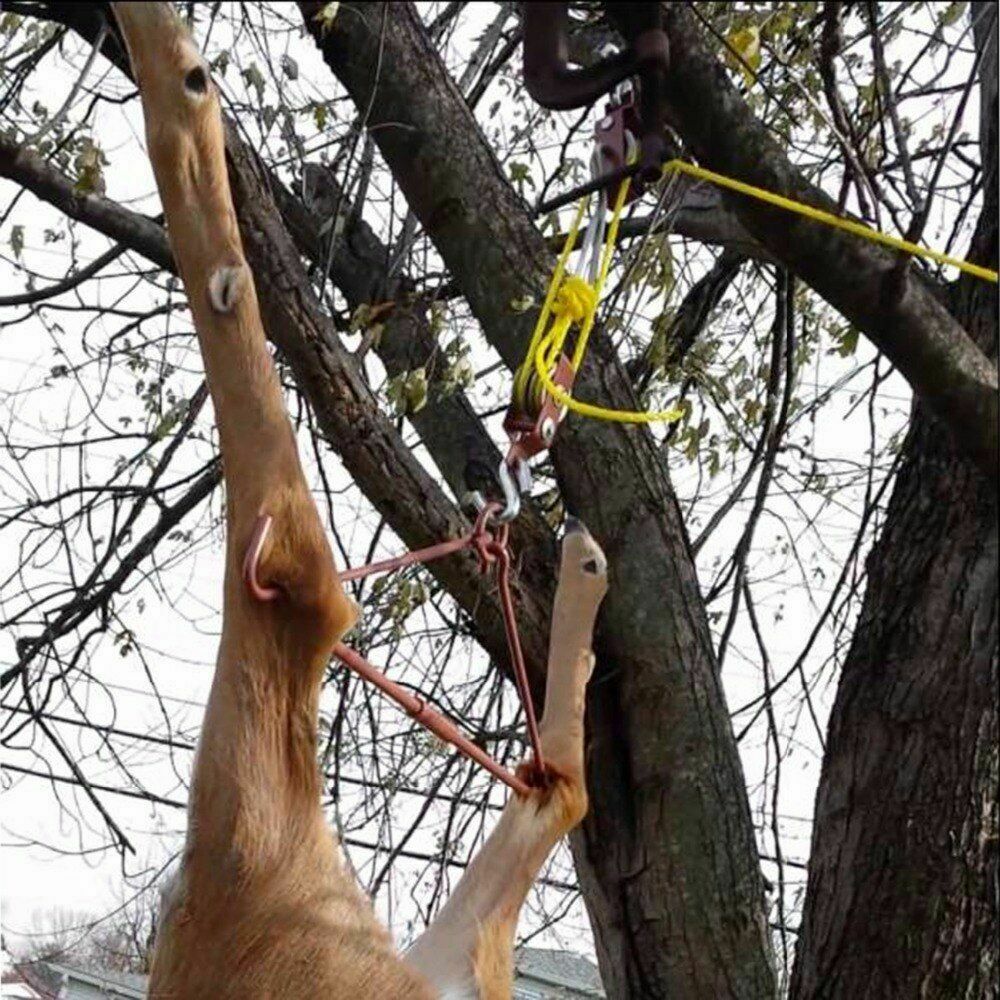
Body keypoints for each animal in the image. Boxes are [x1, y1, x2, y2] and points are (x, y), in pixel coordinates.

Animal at [112, 5, 609, 998]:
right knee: (556, 789)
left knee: (289, 549)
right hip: (404, 927)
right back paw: (585, 569)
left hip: (248, 808)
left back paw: (173, 67)